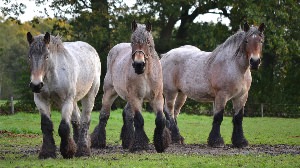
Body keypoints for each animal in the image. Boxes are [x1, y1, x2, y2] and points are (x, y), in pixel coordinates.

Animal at [26, 31, 101, 159]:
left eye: (46, 56)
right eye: (30, 57)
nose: (36, 85)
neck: (52, 76)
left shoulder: (67, 100)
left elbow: (64, 127)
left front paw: (68, 151)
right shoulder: (41, 100)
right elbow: (46, 125)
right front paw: (47, 153)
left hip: (89, 95)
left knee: (85, 120)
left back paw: (83, 150)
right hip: (74, 100)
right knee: (77, 120)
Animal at [91, 20, 171, 153]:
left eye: (147, 42)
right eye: (133, 41)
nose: (139, 64)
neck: (146, 73)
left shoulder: (157, 98)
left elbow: (160, 120)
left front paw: (161, 144)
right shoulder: (136, 98)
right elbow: (139, 120)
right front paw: (139, 145)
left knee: (127, 114)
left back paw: (127, 141)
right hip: (110, 92)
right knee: (104, 115)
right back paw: (98, 142)